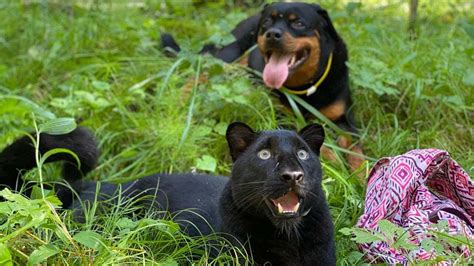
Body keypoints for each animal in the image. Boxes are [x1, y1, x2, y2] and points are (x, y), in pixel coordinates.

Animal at [161, 2, 364, 170]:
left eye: (298, 23)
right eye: (267, 21)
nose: (272, 33)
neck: (306, 87)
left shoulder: (345, 121)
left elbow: (357, 151)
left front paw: (361, 174)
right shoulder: (282, 118)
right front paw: (335, 159)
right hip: (227, 56)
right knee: (200, 73)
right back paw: (182, 99)